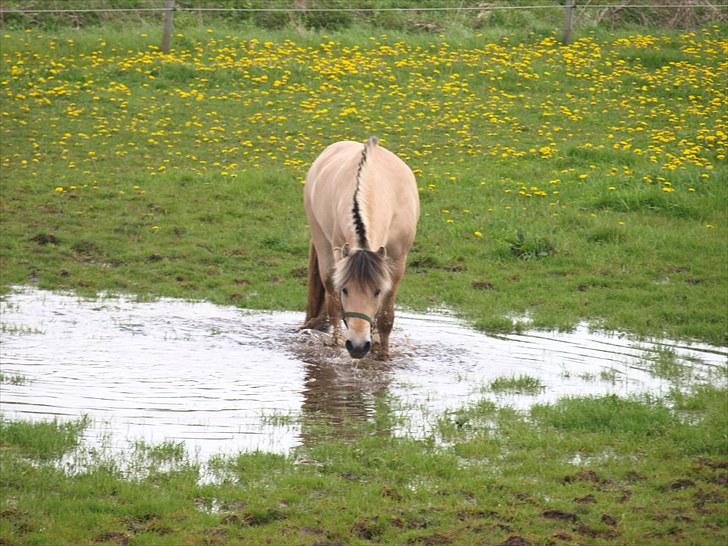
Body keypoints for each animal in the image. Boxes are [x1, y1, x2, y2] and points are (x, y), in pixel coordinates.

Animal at [302, 136, 418, 360]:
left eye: (377, 291)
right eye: (345, 289)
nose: (357, 346)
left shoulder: (397, 261)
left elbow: (385, 316)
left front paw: (383, 354)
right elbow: (337, 304)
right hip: (322, 242)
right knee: (332, 302)